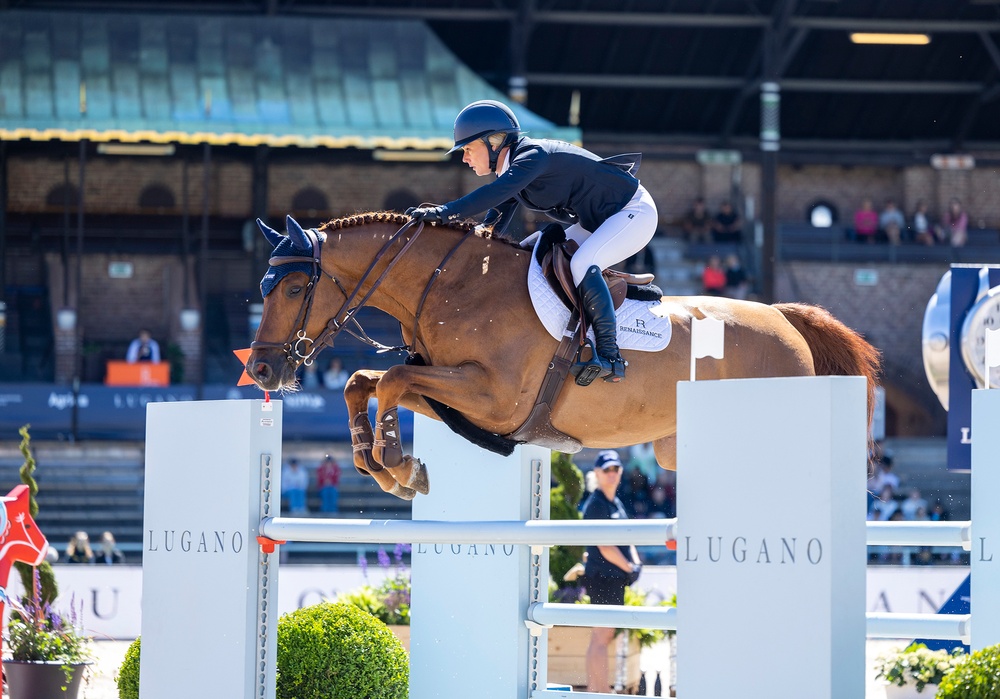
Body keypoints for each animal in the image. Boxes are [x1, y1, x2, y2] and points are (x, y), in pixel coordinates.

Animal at [246, 211, 880, 500]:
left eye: (295, 288)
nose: (261, 369)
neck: (450, 287)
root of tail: (785, 318)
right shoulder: (469, 400)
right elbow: (365, 380)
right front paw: (381, 465)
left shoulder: (494, 398)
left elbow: (393, 378)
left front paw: (399, 465)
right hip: (677, 451)